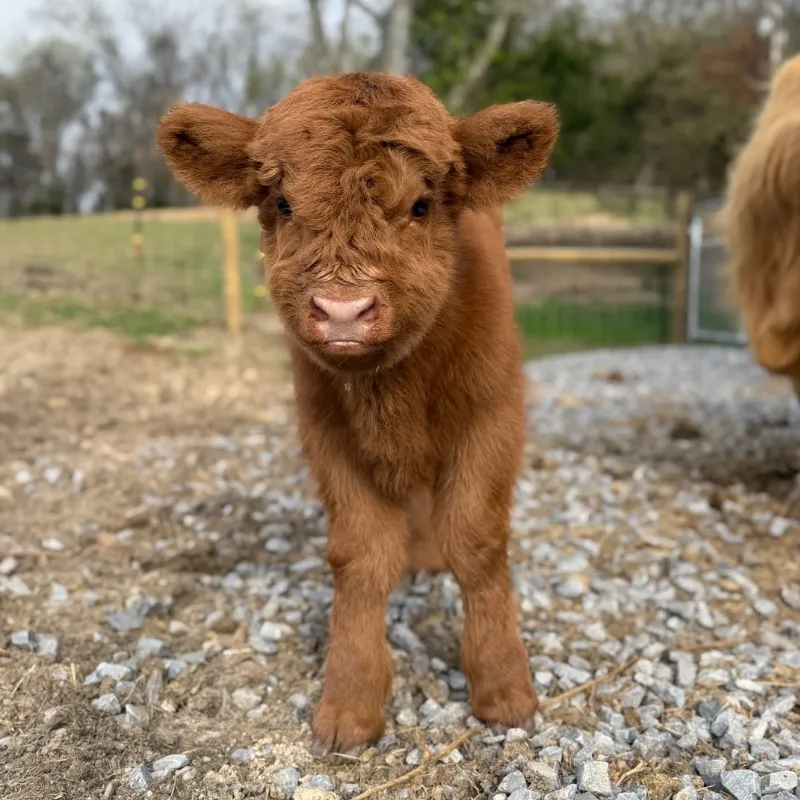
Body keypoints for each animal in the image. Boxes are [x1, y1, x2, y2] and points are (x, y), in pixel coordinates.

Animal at [157, 72, 559, 754]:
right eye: (283, 204)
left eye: (421, 205)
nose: (343, 311)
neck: (391, 394)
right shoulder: (326, 432)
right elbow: (360, 557)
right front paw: (349, 703)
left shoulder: (494, 415)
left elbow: (477, 542)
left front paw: (504, 688)